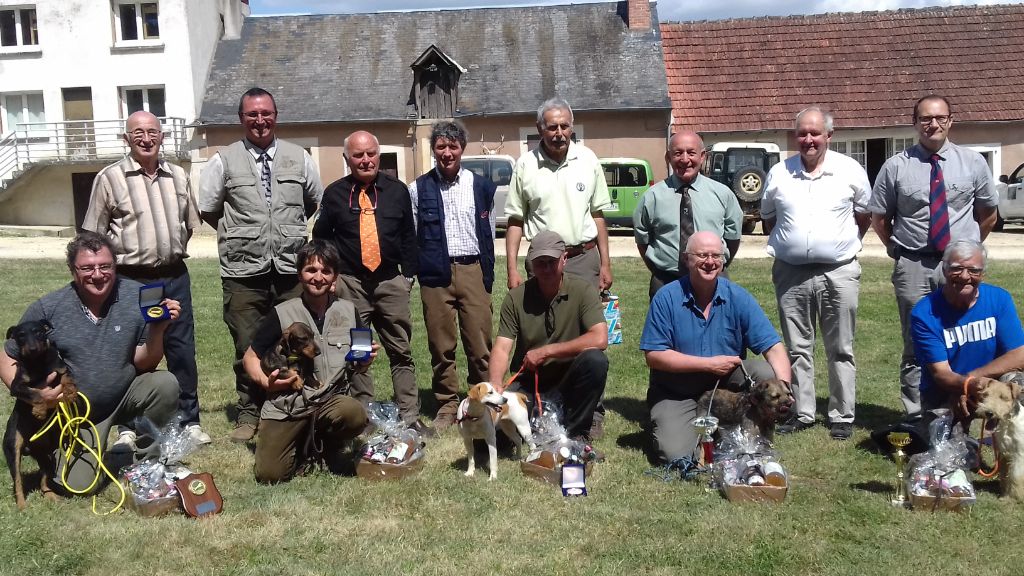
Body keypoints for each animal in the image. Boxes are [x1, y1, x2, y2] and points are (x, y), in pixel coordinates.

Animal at [2, 315, 77, 508]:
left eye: (39, 332)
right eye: (21, 335)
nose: (32, 349)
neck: (37, 362)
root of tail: (31, 447)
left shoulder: (60, 368)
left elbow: (66, 377)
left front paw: (70, 393)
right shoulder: (17, 386)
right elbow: (35, 393)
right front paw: (40, 411)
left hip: (49, 457)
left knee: (43, 480)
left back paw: (52, 497)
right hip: (13, 449)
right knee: (18, 482)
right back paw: (22, 506)